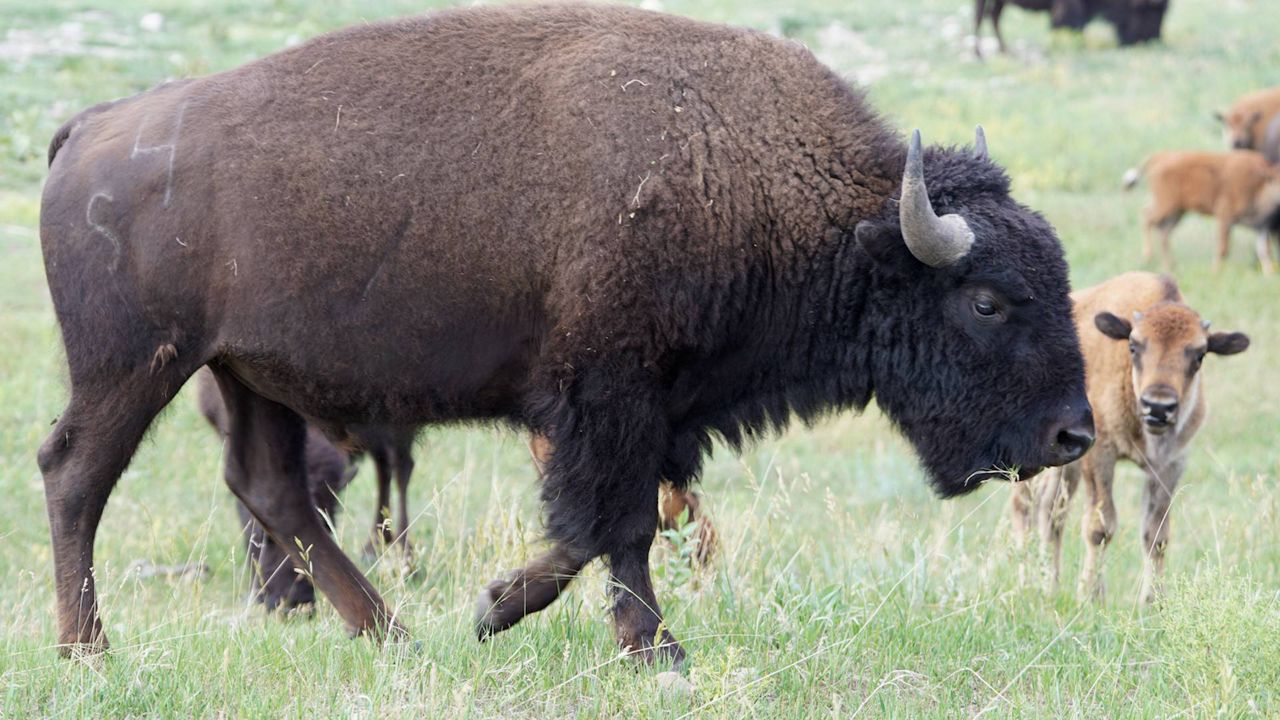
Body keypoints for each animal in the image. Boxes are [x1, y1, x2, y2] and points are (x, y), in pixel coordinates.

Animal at [39, 4, 1092, 662]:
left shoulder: (659, 410)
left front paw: (510, 617)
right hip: (135, 367)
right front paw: (630, 645)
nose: (1072, 433)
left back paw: (390, 636)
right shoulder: (606, 395)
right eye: (987, 301)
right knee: (75, 475)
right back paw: (90, 651)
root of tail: (91, 125)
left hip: (242, 373)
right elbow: (611, 524)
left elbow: (618, 527)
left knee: (272, 492)